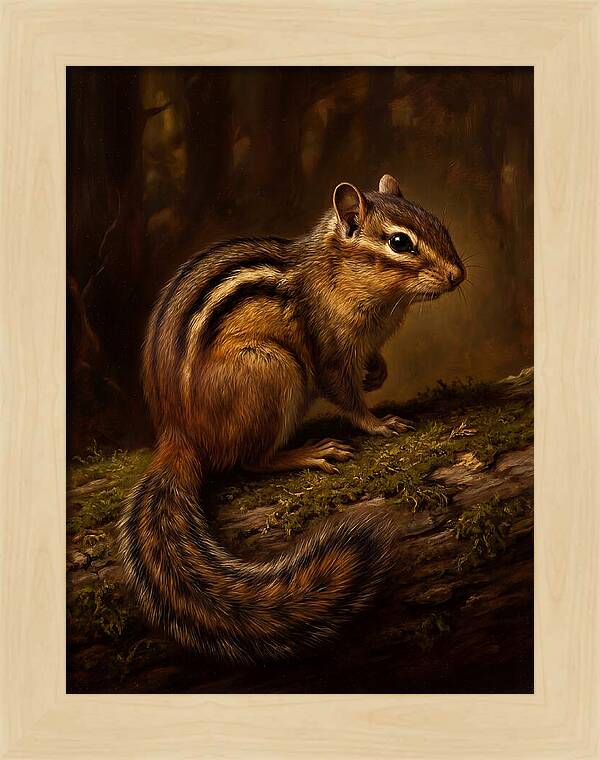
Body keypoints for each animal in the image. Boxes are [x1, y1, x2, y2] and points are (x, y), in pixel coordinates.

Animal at [118, 174, 466, 663]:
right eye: (400, 243)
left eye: (439, 224)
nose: (458, 275)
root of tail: (178, 433)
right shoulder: (329, 351)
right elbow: (345, 395)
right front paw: (379, 423)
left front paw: (378, 372)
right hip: (273, 369)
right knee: (248, 461)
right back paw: (309, 452)